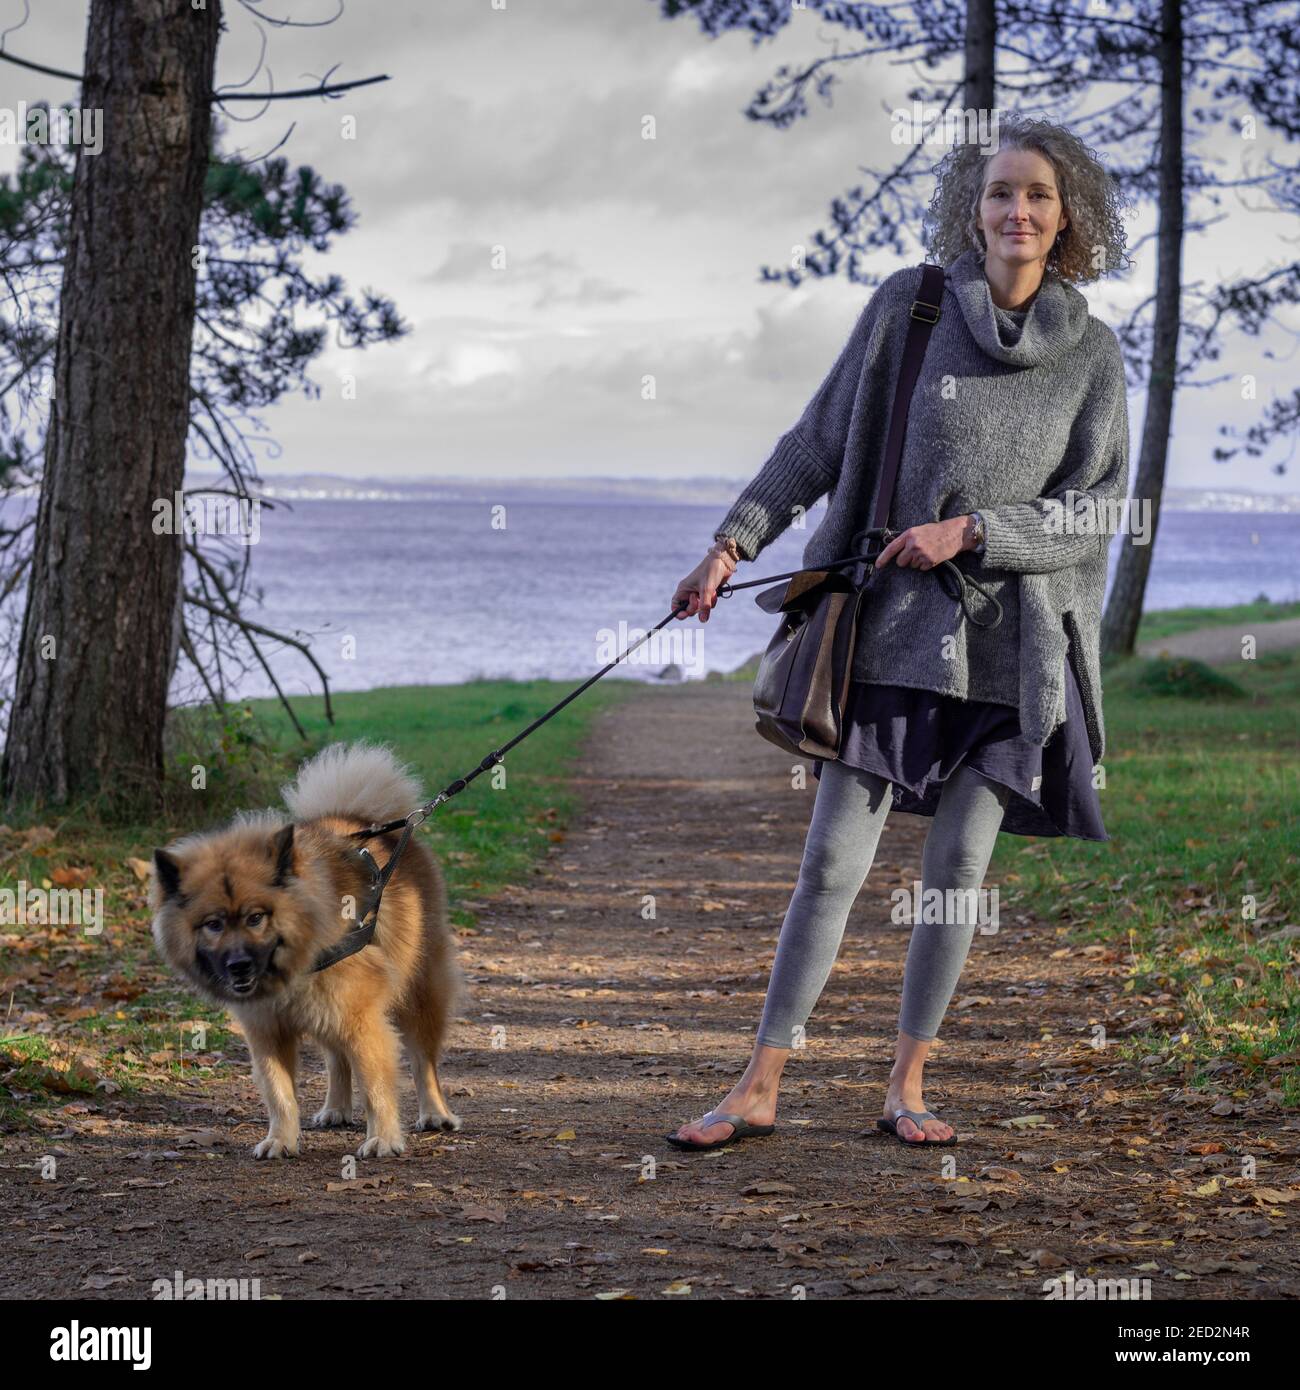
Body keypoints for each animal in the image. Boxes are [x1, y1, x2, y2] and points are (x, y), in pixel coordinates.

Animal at [151, 745, 461, 1156]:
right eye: (213, 924)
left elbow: (376, 1087)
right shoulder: (267, 1031)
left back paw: (435, 1114)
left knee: (423, 1059)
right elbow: (280, 1092)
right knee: (336, 1059)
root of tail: (369, 821)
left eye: (255, 918)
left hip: (417, 990)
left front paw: (382, 1138)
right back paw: (336, 1108)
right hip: (329, 1011)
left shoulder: (362, 1019)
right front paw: (280, 1139)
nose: (238, 965)